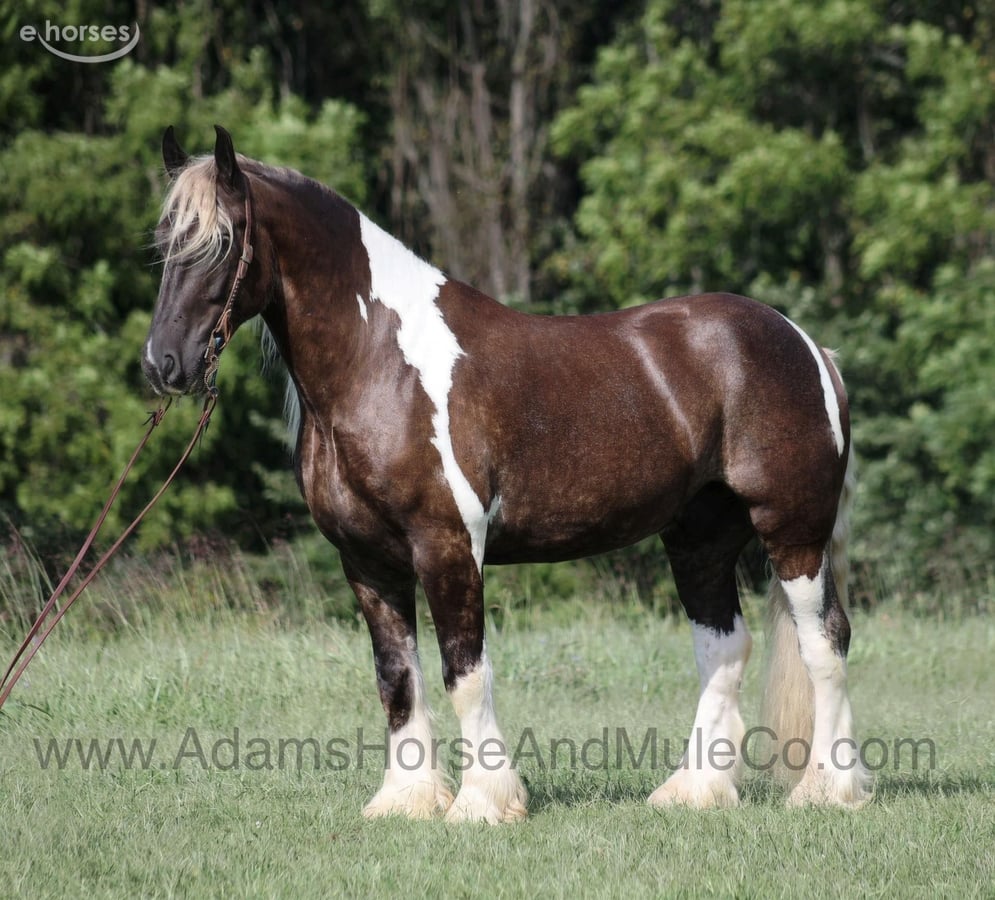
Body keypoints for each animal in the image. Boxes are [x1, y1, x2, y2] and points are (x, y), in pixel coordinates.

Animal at [143, 126, 871, 822]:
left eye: (221, 243)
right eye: (164, 245)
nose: (163, 363)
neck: (381, 361)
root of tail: (807, 344)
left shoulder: (447, 546)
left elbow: (464, 674)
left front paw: (482, 802)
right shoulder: (367, 561)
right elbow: (395, 678)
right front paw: (406, 800)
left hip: (793, 532)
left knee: (824, 643)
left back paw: (829, 789)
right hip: (699, 538)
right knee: (723, 647)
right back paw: (695, 790)